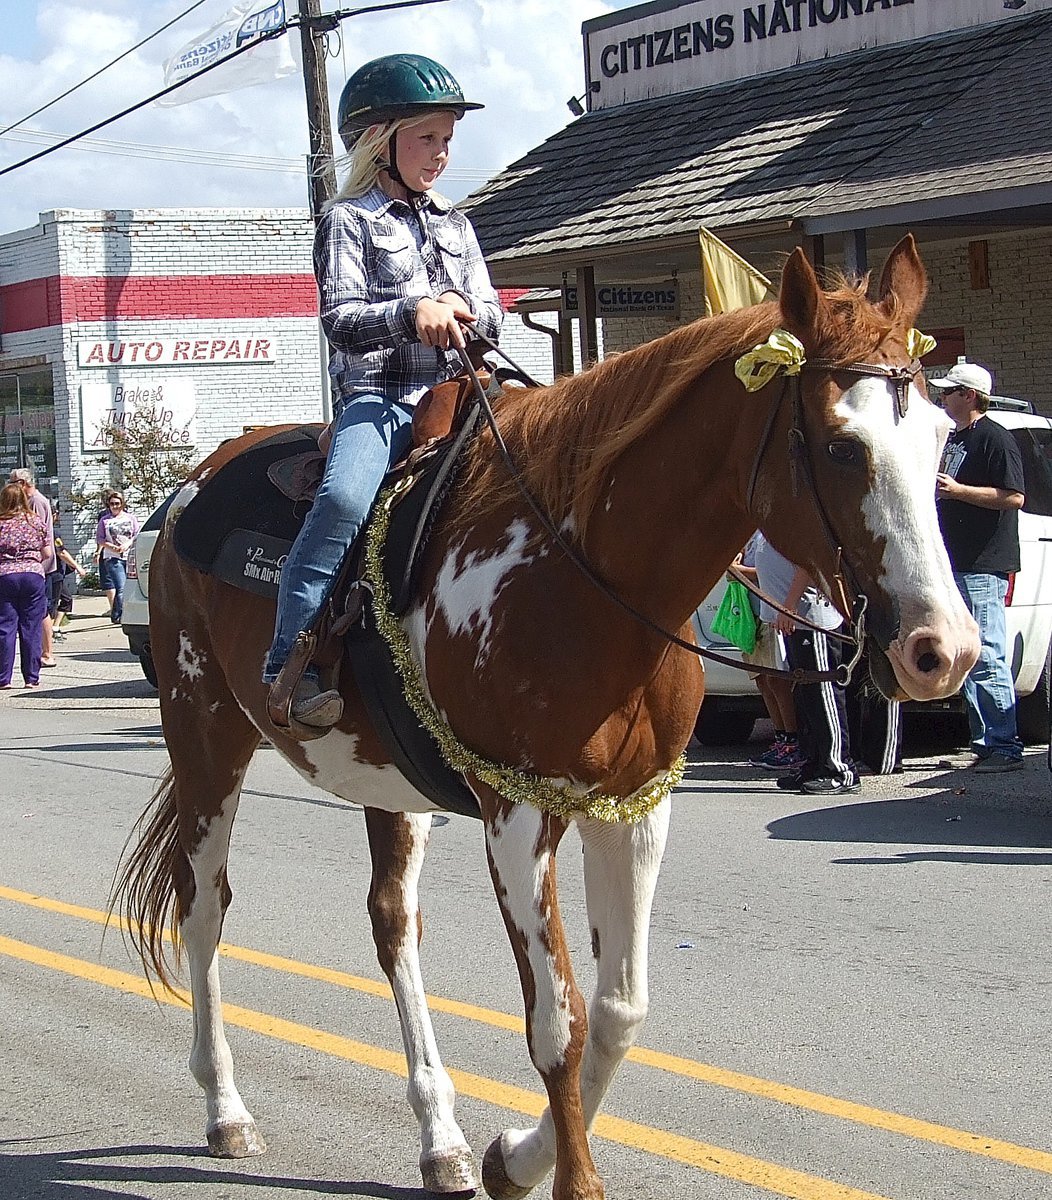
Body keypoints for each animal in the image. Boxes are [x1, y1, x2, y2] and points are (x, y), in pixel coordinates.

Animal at [112, 236, 978, 1200]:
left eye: (942, 438)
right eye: (840, 446)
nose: (943, 650)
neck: (580, 570)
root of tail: (188, 485)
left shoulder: (634, 808)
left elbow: (619, 1009)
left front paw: (512, 1157)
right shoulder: (518, 813)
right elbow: (557, 1025)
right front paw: (564, 1176)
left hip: (388, 785)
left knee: (393, 923)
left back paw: (440, 1137)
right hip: (206, 733)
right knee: (203, 904)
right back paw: (226, 1109)